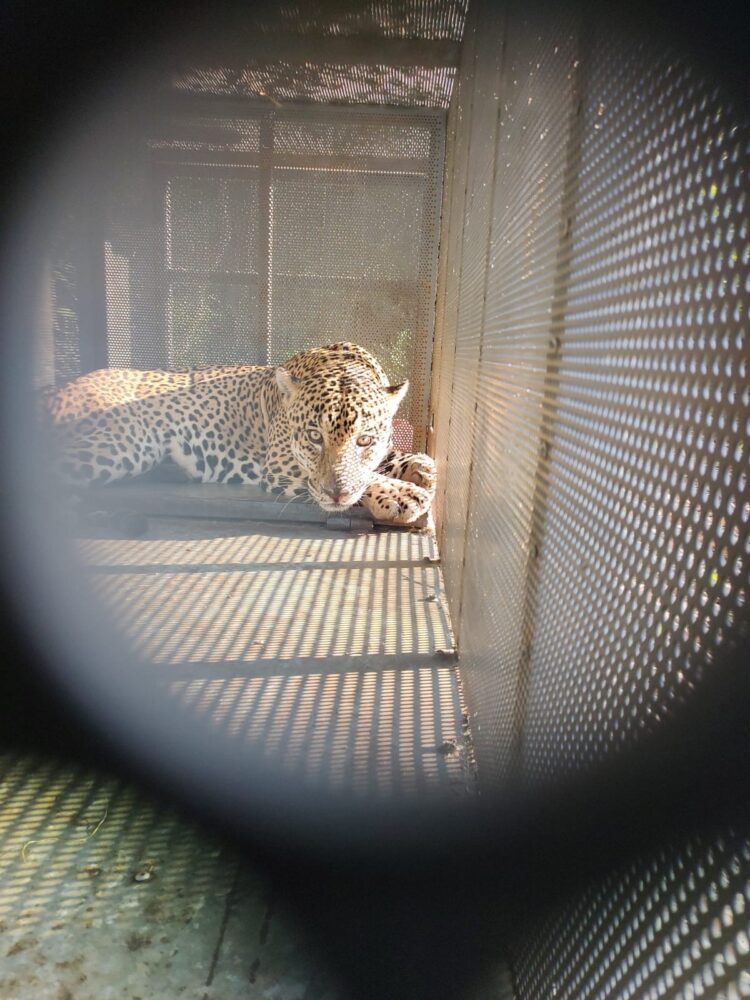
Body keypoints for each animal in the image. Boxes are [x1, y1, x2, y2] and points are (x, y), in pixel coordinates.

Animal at [42, 342, 436, 527]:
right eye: (313, 436)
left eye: (364, 440)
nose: (335, 494)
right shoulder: (280, 466)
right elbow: (360, 478)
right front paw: (402, 494)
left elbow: (388, 459)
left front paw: (420, 468)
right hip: (124, 441)